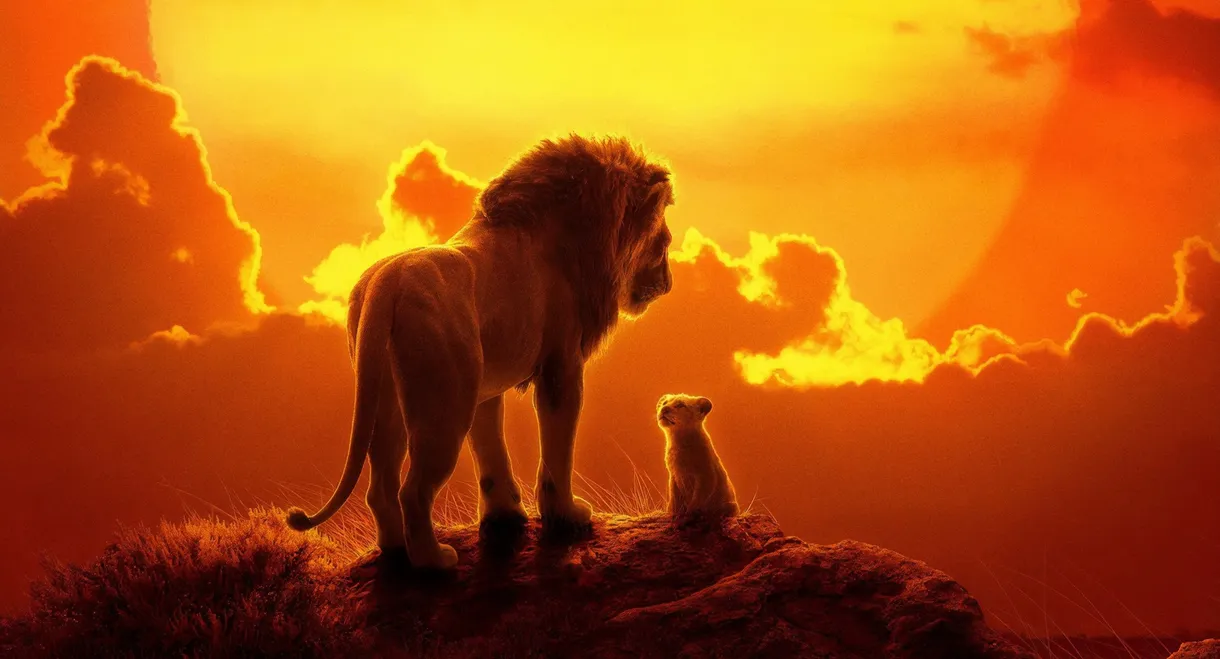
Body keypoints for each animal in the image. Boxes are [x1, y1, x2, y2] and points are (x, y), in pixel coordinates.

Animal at [286, 135, 676, 569]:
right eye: (664, 244)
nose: (668, 283)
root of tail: (386, 283)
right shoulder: (561, 367)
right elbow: (557, 450)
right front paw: (567, 516)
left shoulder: (484, 387)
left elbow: (490, 451)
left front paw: (505, 516)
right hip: (444, 405)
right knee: (413, 491)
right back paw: (434, 561)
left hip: (387, 398)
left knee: (381, 486)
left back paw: (395, 550)